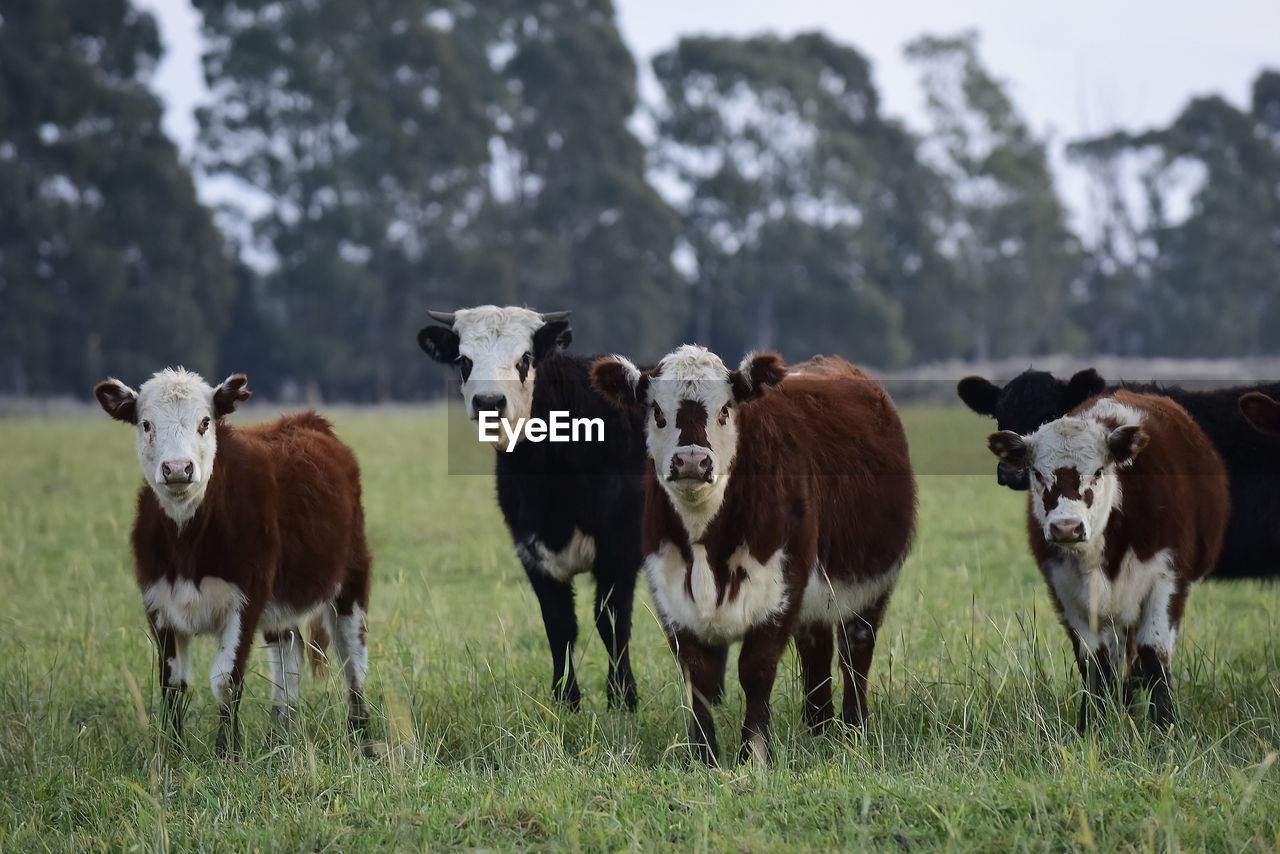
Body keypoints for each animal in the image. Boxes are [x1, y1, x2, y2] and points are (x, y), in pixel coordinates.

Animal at [95, 371, 373, 757]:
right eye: (146, 423)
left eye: (205, 421)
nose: (178, 468)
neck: (187, 543)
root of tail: (307, 420)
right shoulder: (158, 604)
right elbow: (172, 684)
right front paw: (174, 752)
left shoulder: (246, 601)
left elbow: (226, 681)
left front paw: (227, 753)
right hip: (281, 604)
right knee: (289, 653)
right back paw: (279, 736)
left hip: (350, 581)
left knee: (353, 658)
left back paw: (362, 737)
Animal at [417, 306, 645, 706]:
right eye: (464, 360)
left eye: (524, 359)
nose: (489, 402)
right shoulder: (532, 550)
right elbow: (559, 624)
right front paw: (565, 698)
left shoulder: (621, 549)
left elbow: (612, 622)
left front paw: (623, 697)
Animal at [593, 348, 916, 768]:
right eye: (658, 411)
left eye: (725, 409)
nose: (692, 461)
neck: (708, 545)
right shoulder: (671, 594)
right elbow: (698, 676)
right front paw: (704, 756)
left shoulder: (779, 590)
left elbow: (756, 671)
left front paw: (755, 754)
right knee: (817, 653)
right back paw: (818, 727)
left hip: (870, 587)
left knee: (855, 652)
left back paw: (853, 727)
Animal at [988, 391, 1228, 732]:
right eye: (1037, 473)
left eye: (1099, 471)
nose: (1066, 527)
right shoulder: (1067, 592)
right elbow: (1093, 661)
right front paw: (1092, 725)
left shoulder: (1167, 579)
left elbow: (1154, 653)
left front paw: (1164, 727)